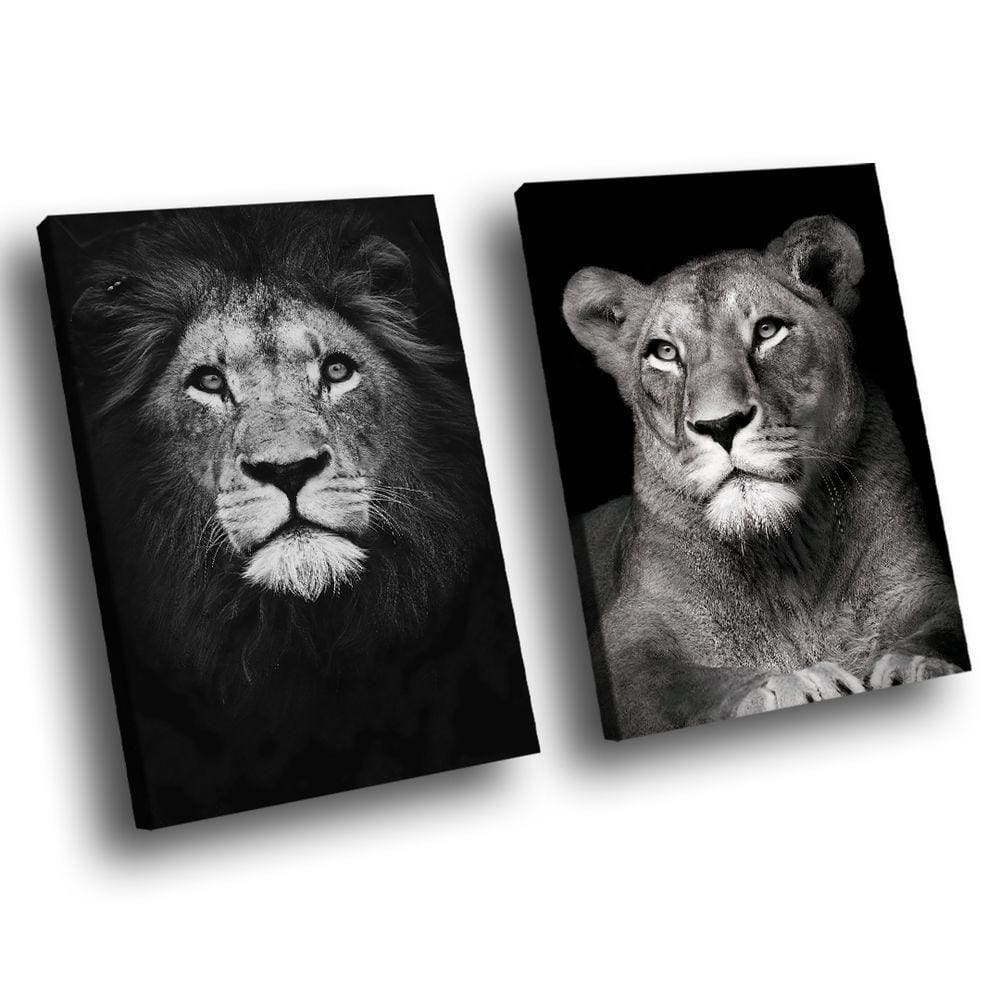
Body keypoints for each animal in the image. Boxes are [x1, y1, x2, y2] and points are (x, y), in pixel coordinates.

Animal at [562, 215, 969, 739]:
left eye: (768, 330)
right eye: (665, 352)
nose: (720, 424)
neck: (787, 555)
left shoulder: (921, 582)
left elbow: (945, 626)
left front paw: (913, 665)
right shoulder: (621, 641)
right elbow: (680, 684)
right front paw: (791, 685)